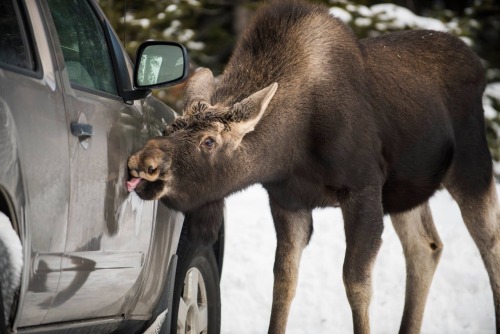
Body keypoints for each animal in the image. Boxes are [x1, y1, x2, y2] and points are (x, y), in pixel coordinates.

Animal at [126, 1, 500, 332]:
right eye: (168, 129)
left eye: (208, 141)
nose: (143, 162)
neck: (294, 150)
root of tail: (478, 63)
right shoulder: (288, 201)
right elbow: (283, 281)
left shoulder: (363, 188)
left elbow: (356, 283)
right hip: (404, 190)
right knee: (426, 247)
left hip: (471, 164)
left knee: (489, 242)